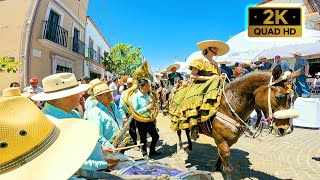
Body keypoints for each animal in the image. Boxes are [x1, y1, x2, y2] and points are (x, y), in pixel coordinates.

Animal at [172, 65, 300, 179]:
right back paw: (182, 148)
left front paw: (217, 167)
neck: (227, 106)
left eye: (295, 97)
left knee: (187, 131)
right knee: (179, 132)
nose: (286, 129)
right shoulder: (221, 140)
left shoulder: (229, 140)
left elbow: (221, 158)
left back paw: (190, 146)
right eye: (278, 97)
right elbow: (228, 168)